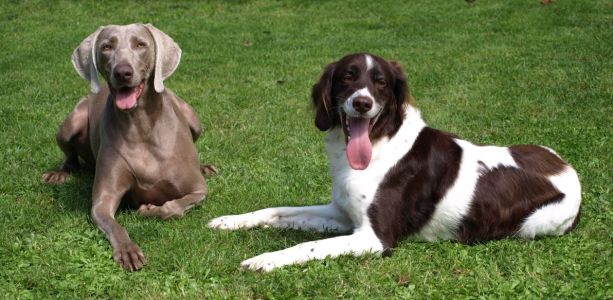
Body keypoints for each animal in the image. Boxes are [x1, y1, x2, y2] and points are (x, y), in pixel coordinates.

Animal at [43, 24, 215, 270]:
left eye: (140, 44)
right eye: (107, 46)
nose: (122, 72)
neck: (141, 126)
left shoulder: (199, 189)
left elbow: (175, 207)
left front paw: (151, 209)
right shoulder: (102, 202)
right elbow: (114, 225)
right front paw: (128, 250)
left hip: (193, 117)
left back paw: (205, 167)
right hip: (71, 122)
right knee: (70, 155)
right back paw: (60, 173)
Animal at [208, 53, 580, 272]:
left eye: (381, 82)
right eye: (348, 77)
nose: (362, 103)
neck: (378, 144)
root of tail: (567, 167)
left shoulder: (374, 238)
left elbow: (307, 246)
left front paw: (265, 259)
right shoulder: (343, 215)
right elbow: (276, 211)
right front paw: (230, 220)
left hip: (535, 224)